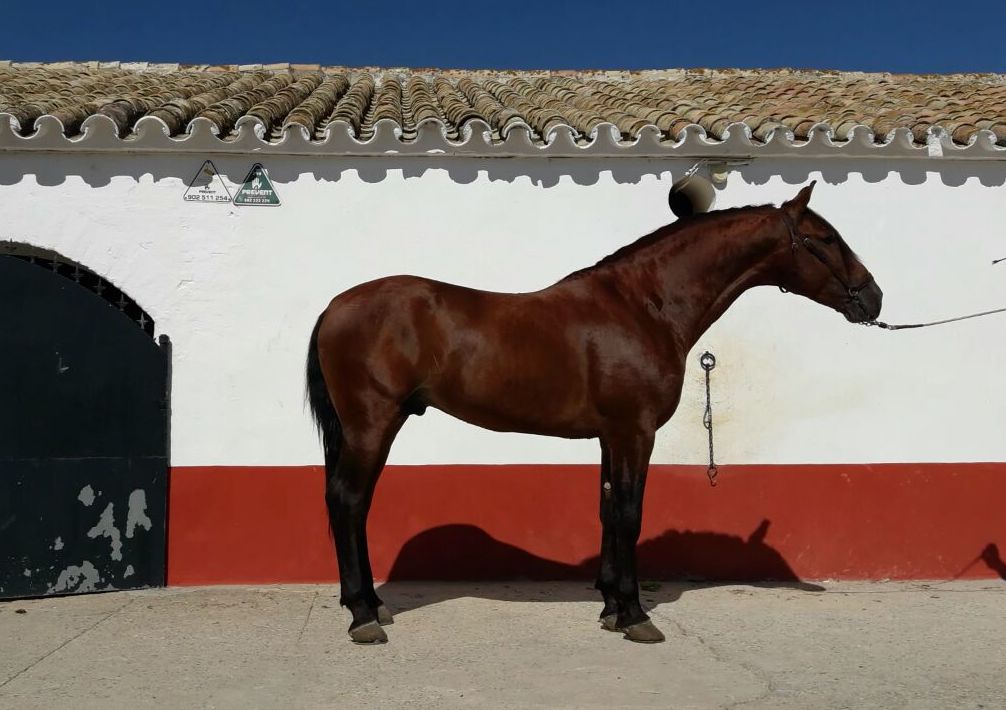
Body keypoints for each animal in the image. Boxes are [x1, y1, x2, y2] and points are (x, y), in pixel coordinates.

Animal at [303, 181, 881, 643]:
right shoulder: (634, 431)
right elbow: (629, 514)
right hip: (373, 424)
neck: (644, 306)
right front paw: (635, 615)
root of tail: (334, 306)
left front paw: (609, 606)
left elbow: (607, 510)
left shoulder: (610, 435)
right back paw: (363, 616)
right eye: (825, 239)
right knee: (349, 502)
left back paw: (371, 606)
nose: (873, 297)